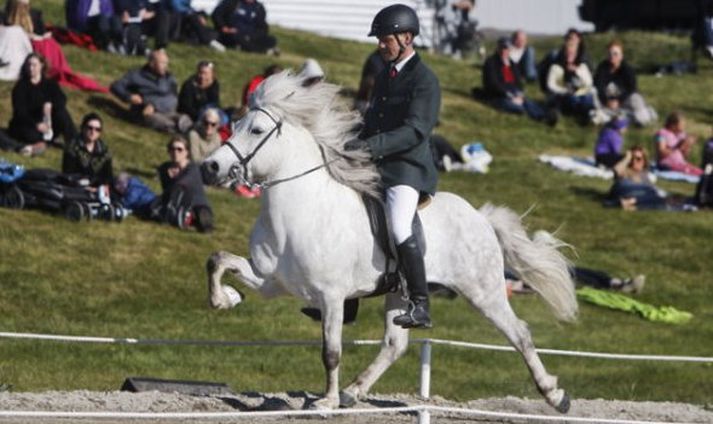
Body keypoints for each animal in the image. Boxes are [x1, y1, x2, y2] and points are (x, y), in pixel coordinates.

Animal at [197, 71, 576, 412]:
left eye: (257, 130)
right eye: (235, 124)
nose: (209, 167)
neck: (296, 212)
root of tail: (481, 217)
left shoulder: (331, 296)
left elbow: (331, 352)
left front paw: (326, 401)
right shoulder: (270, 280)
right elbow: (218, 259)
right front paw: (225, 298)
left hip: (482, 291)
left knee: (519, 333)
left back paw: (555, 395)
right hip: (400, 290)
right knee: (395, 344)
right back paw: (353, 392)